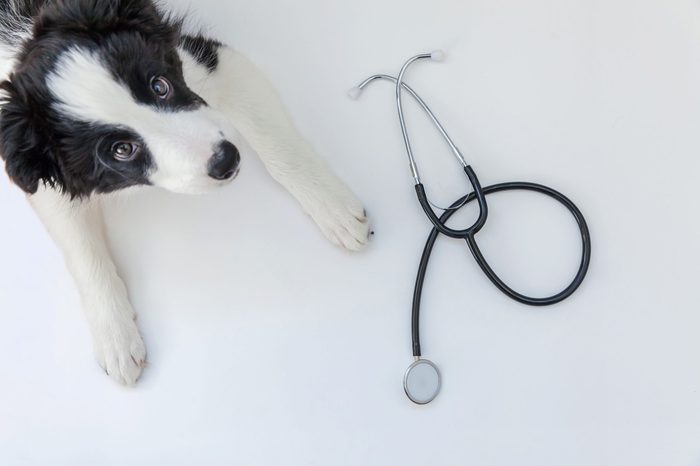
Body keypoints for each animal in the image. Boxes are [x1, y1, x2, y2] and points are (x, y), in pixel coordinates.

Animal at [0, 0, 372, 384]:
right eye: (121, 150)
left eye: (160, 86)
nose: (226, 160)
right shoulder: (41, 174)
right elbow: (81, 250)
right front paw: (115, 335)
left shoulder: (209, 62)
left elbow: (277, 146)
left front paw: (333, 208)